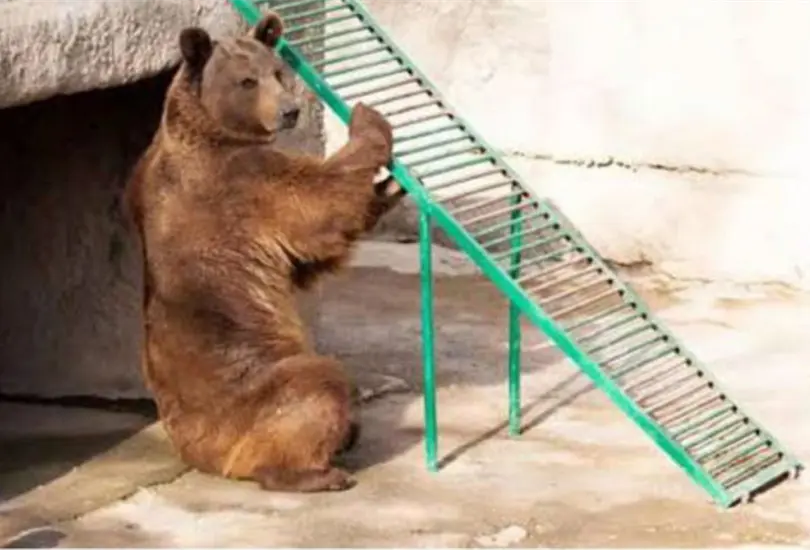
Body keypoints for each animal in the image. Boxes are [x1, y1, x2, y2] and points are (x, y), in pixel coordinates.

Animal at [123, 12, 407, 492]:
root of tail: (203, 457)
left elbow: (307, 259)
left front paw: (388, 187)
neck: (210, 129)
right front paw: (369, 119)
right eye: (247, 81)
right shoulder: (242, 181)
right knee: (318, 386)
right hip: (253, 395)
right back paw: (320, 471)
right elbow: (317, 206)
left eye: (278, 72)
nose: (290, 110)